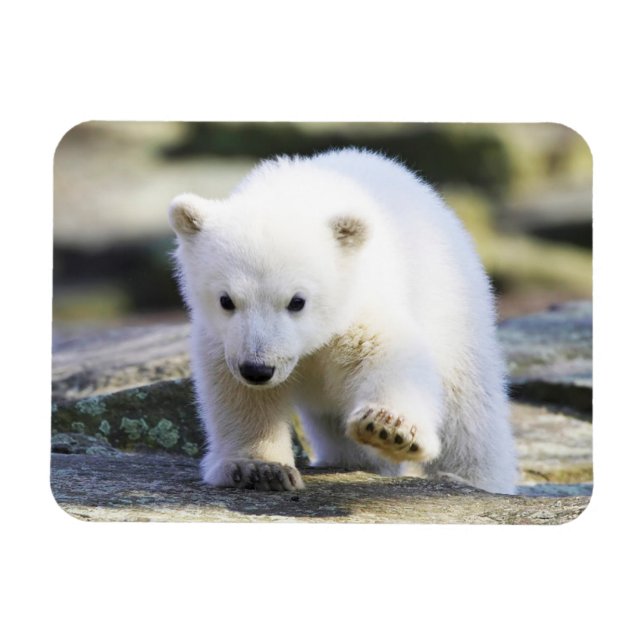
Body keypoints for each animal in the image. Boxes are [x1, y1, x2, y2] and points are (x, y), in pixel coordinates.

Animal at [169, 148, 517, 494]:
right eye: (226, 300)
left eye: (297, 301)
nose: (257, 369)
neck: (293, 194)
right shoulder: (223, 338)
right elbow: (239, 394)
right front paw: (260, 468)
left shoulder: (358, 302)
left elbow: (389, 354)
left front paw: (389, 428)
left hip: (452, 304)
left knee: (468, 408)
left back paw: (472, 478)